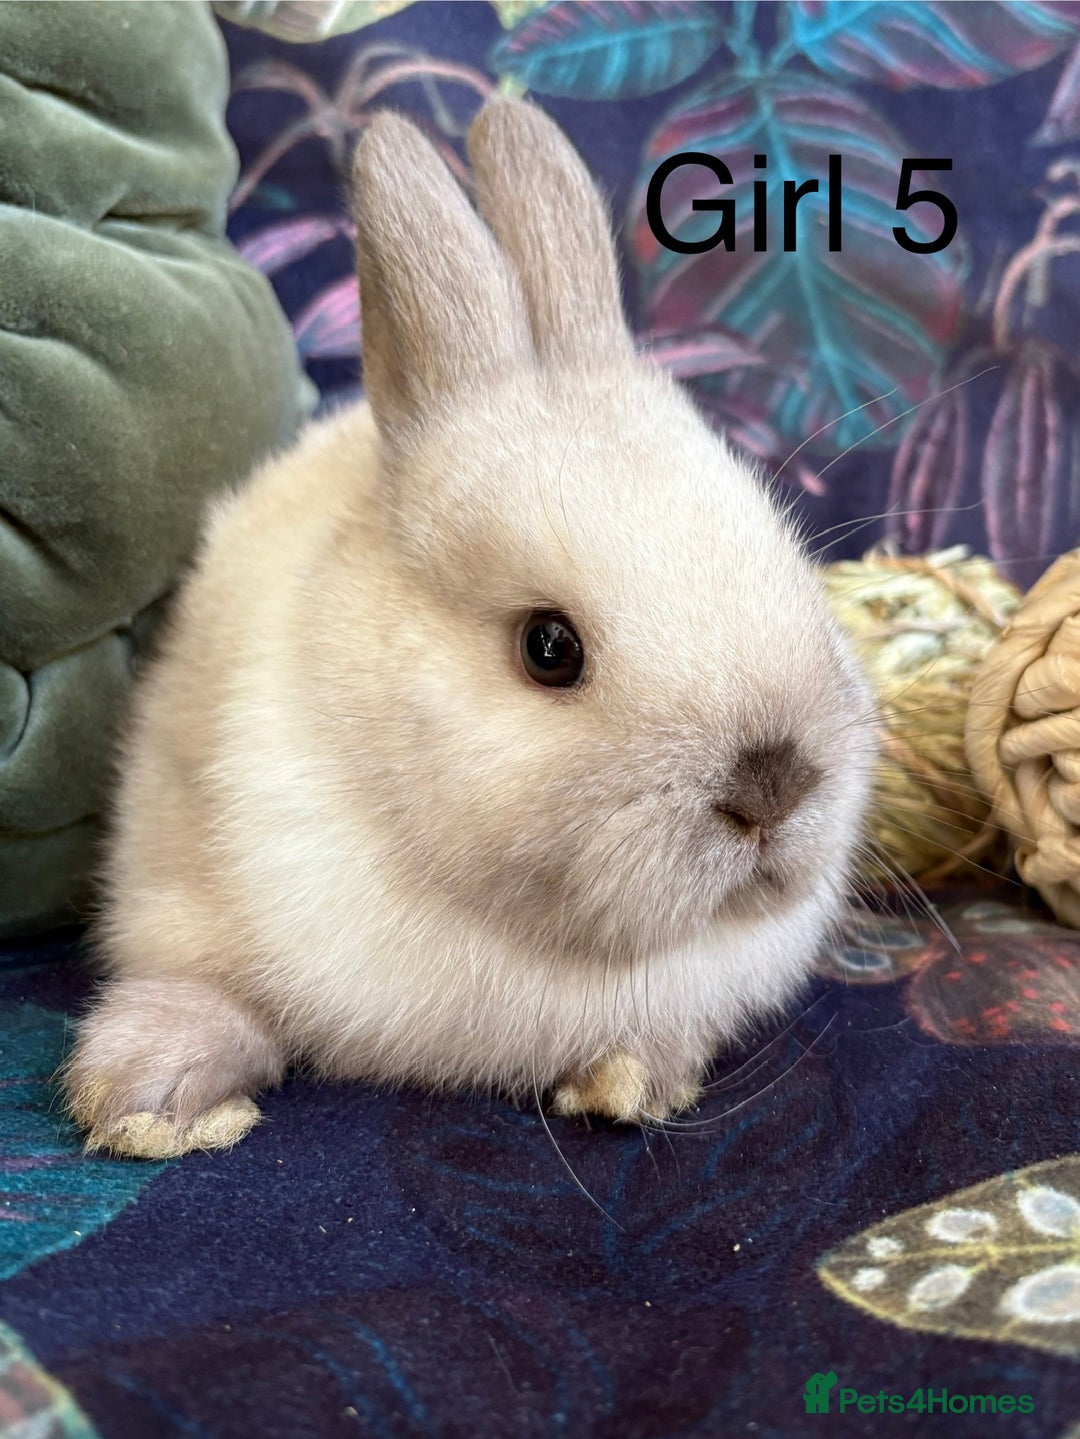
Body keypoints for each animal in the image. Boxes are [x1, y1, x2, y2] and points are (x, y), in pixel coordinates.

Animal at [63, 97, 876, 1159]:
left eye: (782, 553)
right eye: (549, 648)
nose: (773, 785)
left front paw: (633, 1080)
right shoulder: (177, 865)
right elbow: (200, 983)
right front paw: (148, 1100)